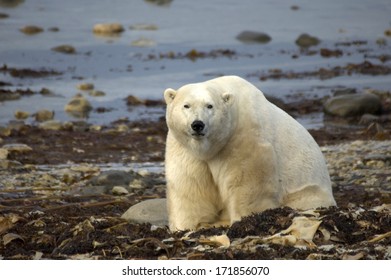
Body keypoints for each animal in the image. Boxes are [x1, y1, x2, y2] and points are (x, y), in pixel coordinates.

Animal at [164, 75, 336, 231]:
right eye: (186, 105)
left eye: (210, 106)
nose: (197, 124)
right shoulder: (185, 148)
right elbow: (190, 183)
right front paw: (188, 226)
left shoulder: (242, 135)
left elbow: (247, 178)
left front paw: (244, 220)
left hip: (306, 191)